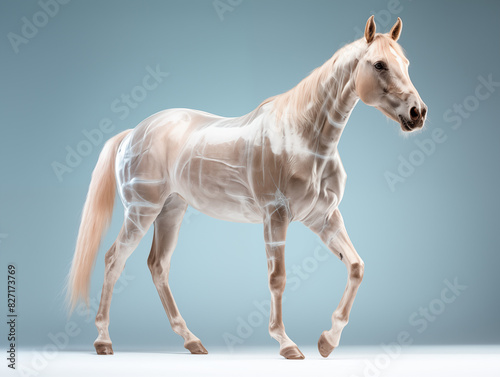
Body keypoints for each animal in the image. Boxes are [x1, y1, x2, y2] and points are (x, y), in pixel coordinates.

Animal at [66, 16, 426, 358]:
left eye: (406, 63)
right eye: (379, 64)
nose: (417, 113)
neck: (303, 137)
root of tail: (132, 133)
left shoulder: (323, 218)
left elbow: (356, 267)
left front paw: (327, 341)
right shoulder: (275, 216)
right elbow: (278, 278)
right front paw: (286, 344)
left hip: (171, 210)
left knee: (158, 266)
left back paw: (191, 341)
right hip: (141, 210)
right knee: (114, 260)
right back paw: (103, 341)